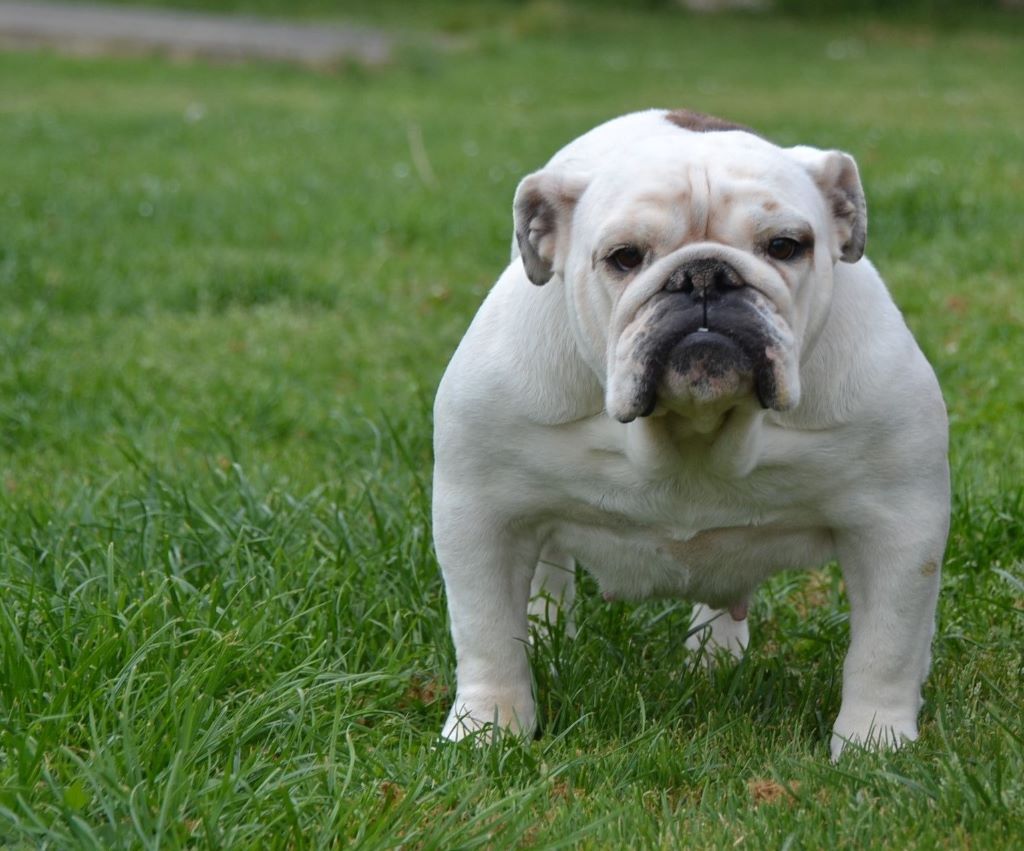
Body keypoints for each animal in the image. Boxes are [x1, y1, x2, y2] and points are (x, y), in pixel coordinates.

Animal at [432, 109, 949, 759]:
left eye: (785, 246)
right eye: (624, 257)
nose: (704, 274)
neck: (694, 427)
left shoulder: (898, 523)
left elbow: (886, 646)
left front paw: (873, 745)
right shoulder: (480, 512)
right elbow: (486, 632)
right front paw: (486, 730)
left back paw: (714, 656)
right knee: (547, 574)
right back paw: (548, 634)